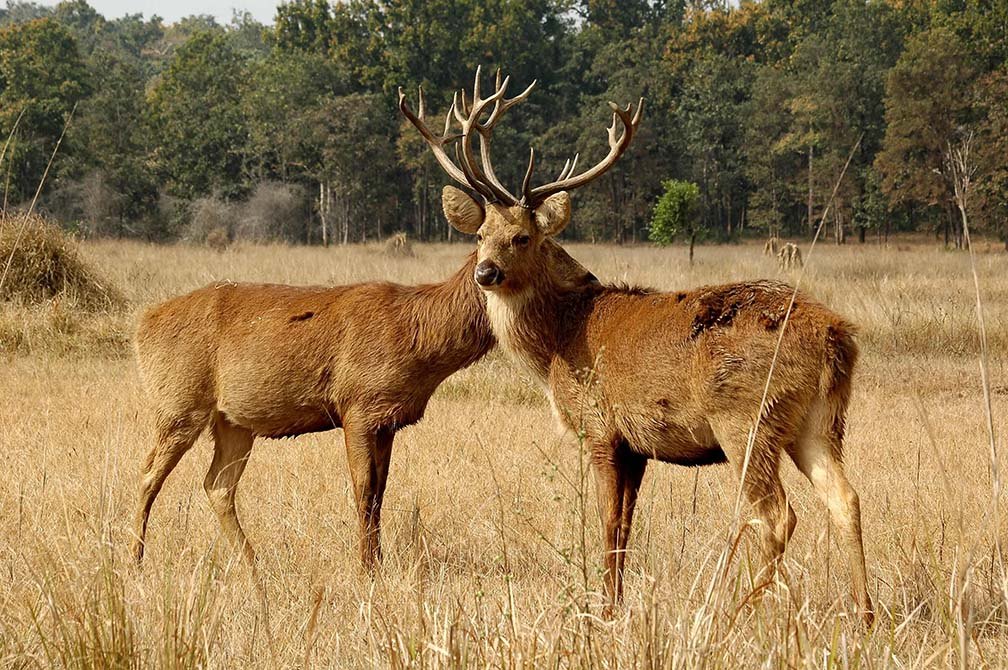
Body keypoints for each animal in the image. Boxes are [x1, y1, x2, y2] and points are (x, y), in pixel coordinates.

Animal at [132, 231, 596, 571]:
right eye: (539, 245)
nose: (590, 278)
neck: (420, 341)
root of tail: (142, 325)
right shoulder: (357, 405)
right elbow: (363, 489)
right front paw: (367, 568)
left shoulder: (389, 418)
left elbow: (381, 492)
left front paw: (377, 561)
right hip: (178, 402)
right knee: (148, 474)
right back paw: (134, 558)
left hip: (234, 422)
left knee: (217, 485)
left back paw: (254, 563)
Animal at [400, 69, 874, 625]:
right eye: (478, 234)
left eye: (522, 237)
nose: (485, 273)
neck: (558, 337)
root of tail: (836, 335)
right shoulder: (638, 445)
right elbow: (626, 527)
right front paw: (616, 603)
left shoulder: (600, 425)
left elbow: (607, 524)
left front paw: (602, 612)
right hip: (819, 419)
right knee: (846, 499)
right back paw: (866, 615)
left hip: (745, 416)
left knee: (777, 514)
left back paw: (736, 611)